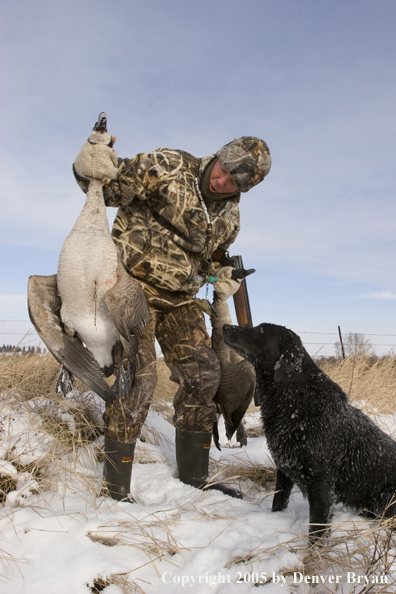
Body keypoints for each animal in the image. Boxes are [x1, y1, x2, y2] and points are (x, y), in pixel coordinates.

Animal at [223, 322, 396, 540]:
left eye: (261, 330)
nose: (224, 326)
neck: (293, 402)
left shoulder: (321, 481)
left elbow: (317, 528)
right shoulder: (284, 467)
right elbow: (279, 501)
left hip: (385, 497)